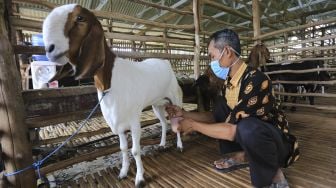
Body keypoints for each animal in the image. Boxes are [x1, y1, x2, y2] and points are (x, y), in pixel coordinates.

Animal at [43, 4, 184, 187]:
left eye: (80, 18)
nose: (49, 49)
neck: (109, 84)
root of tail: (166, 63)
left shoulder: (134, 120)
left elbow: (135, 150)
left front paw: (139, 178)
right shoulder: (118, 123)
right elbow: (123, 148)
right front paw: (123, 172)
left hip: (175, 98)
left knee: (177, 121)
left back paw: (180, 146)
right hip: (157, 104)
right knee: (164, 122)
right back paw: (161, 144)